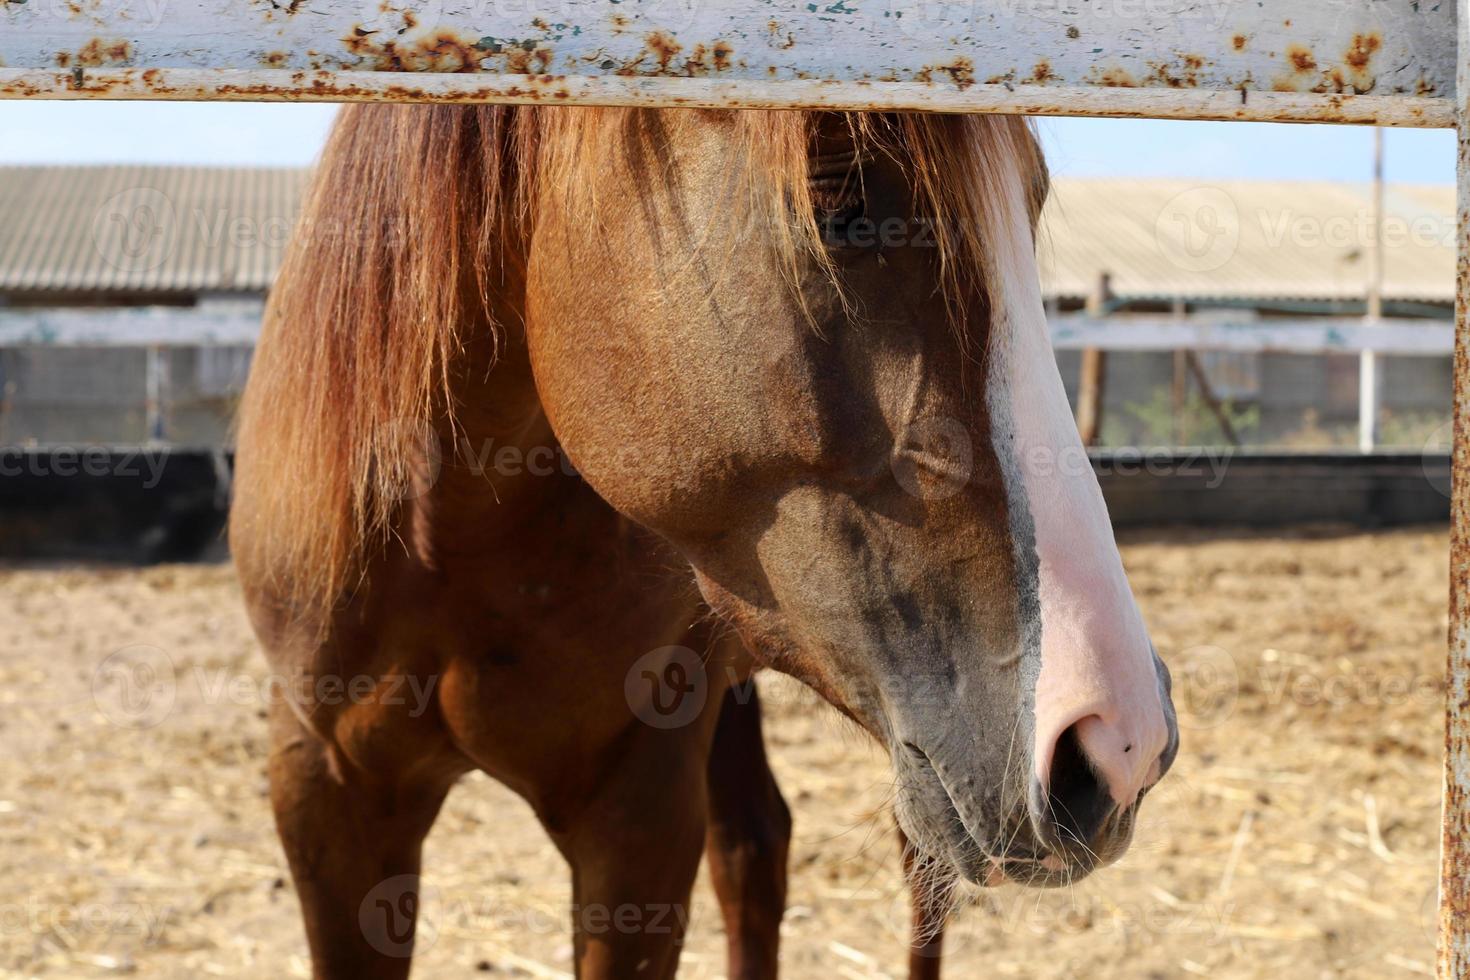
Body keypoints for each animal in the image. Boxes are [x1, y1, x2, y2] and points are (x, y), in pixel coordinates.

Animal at [229, 103, 1181, 975]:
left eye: (1033, 200)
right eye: (839, 196)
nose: (1120, 744)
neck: (447, 545)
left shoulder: (636, 815)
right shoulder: (325, 795)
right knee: (758, 850)